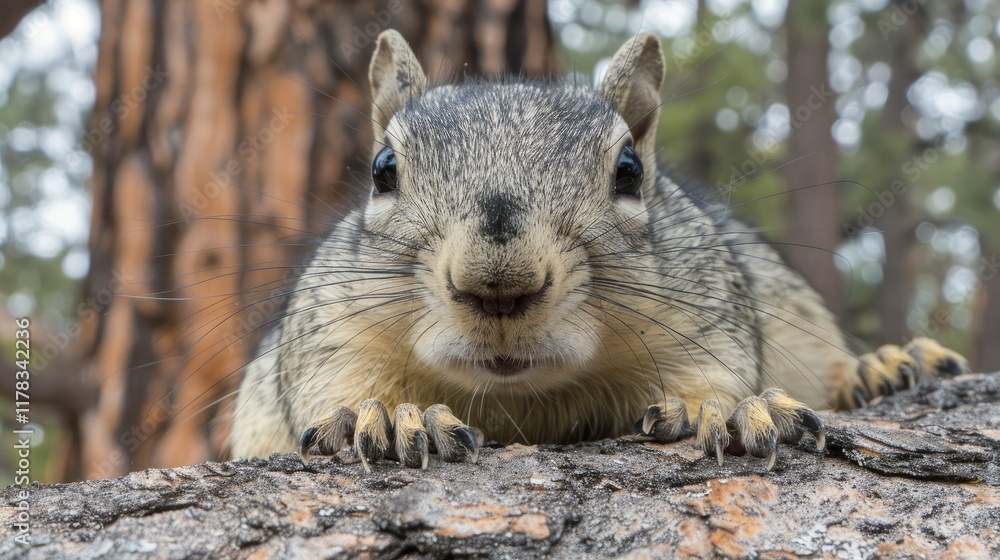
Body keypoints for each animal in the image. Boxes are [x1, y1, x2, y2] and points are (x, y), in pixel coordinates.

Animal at [229, 30, 970, 471]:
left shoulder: (704, 309)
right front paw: (380, 414)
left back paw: (885, 365)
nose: (499, 286)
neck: (526, 399)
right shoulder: (334, 326)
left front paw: (726, 409)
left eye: (629, 171)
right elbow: (328, 380)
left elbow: (720, 370)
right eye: (383, 170)